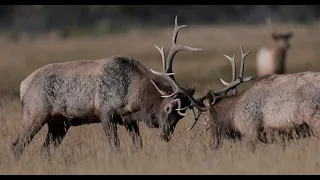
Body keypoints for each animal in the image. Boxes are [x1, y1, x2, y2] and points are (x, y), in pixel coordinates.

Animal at [13, 15, 202, 159]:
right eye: (168, 107)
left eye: (181, 116)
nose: (165, 135)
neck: (133, 97)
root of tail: (22, 86)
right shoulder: (106, 113)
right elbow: (115, 146)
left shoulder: (129, 120)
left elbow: (138, 145)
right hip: (35, 113)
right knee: (17, 145)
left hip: (59, 123)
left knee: (44, 150)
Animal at [152, 45, 320, 152]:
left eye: (208, 118)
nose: (212, 144)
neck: (234, 114)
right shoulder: (282, 138)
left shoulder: (251, 130)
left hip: (315, 119)